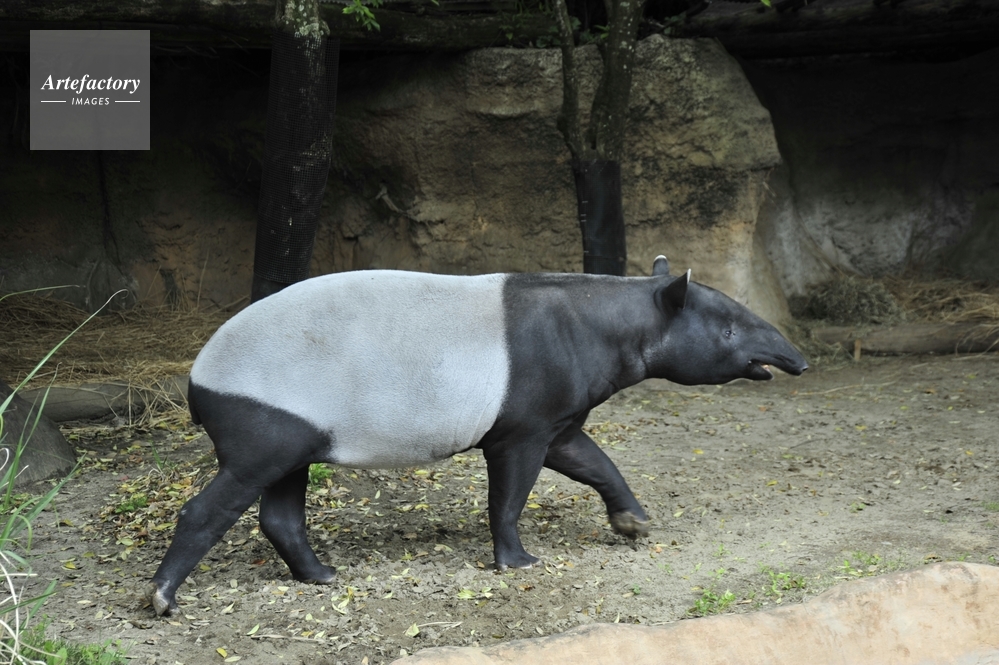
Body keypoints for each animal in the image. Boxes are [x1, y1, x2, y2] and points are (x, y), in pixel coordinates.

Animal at [149, 255, 807, 615]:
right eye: (729, 331)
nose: (795, 359)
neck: (611, 322)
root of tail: (197, 380)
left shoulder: (557, 420)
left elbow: (596, 463)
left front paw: (634, 522)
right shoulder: (524, 425)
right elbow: (510, 496)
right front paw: (517, 561)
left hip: (299, 429)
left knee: (281, 511)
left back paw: (323, 575)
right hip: (266, 419)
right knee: (215, 504)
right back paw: (162, 597)